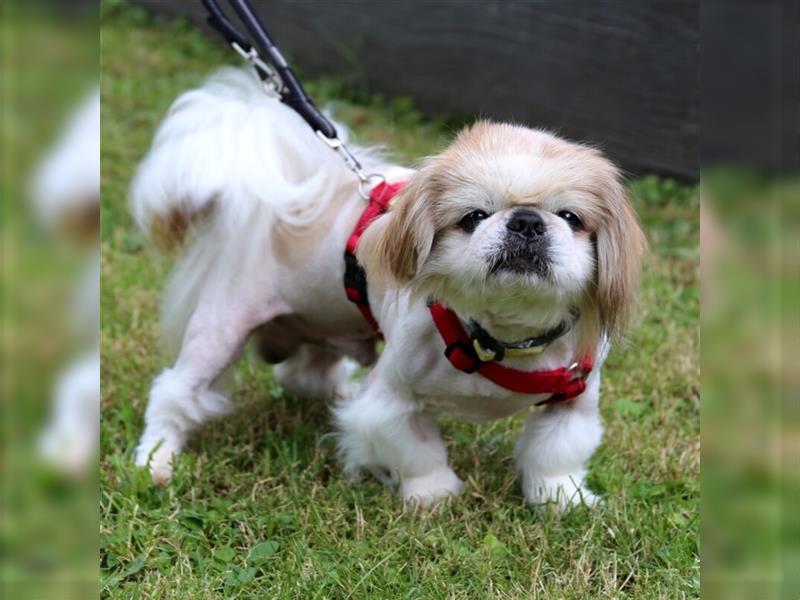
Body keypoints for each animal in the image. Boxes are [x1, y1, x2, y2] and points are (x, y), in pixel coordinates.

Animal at [131, 68, 644, 506]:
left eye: (571, 217)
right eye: (473, 217)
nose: (526, 221)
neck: (501, 339)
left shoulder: (573, 407)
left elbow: (554, 456)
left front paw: (561, 500)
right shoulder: (394, 400)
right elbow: (416, 451)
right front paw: (433, 497)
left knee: (303, 374)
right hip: (219, 332)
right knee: (174, 394)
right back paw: (155, 459)